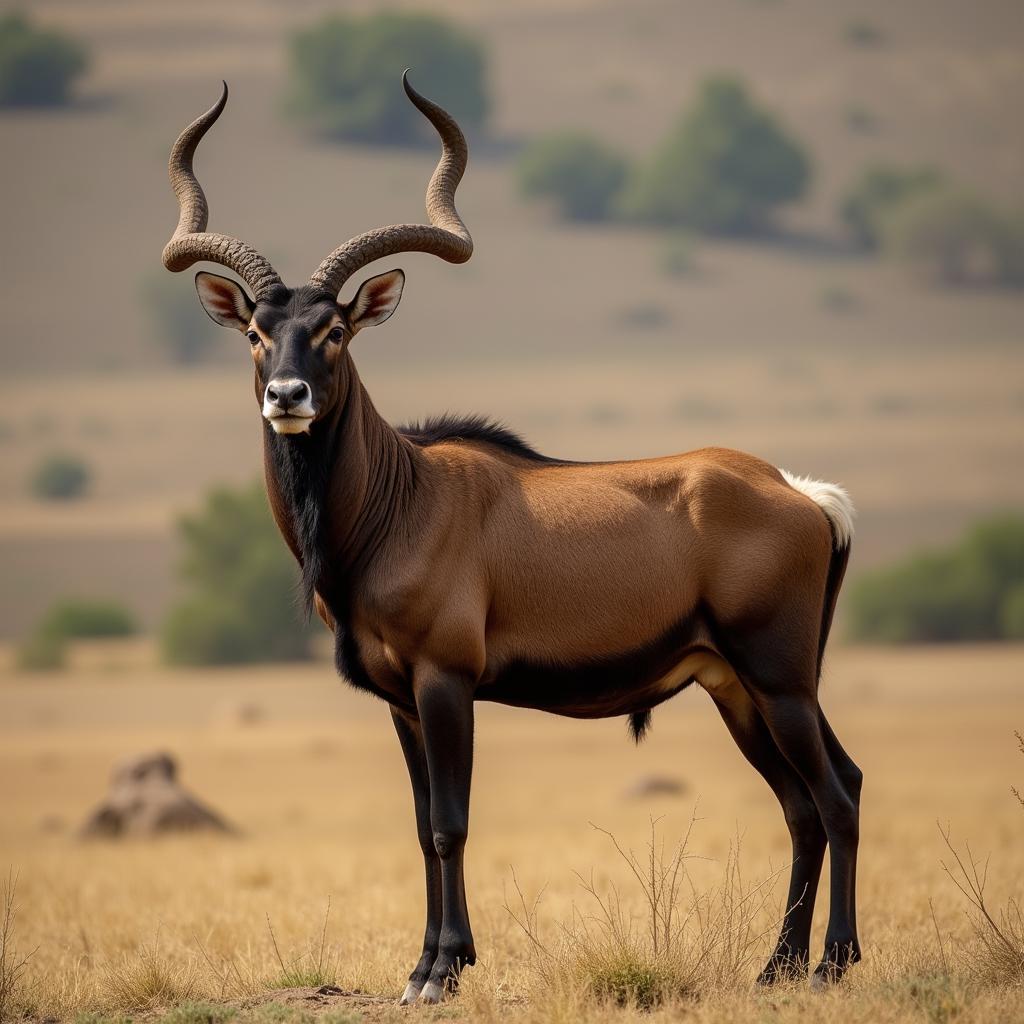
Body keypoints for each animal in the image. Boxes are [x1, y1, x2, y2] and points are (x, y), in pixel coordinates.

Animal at [161, 77, 864, 999]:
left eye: (334, 331)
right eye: (255, 332)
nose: (287, 396)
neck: (401, 500)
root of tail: (799, 494)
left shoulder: (445, 683)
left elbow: (450, 823)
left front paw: (442, 971)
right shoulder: (400, 700)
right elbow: (421, 824)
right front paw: (423, 966)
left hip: (779, 684)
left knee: (836, 796)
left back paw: (831, 965)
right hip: (737, 691)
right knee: (805, 805)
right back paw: (775, 968)